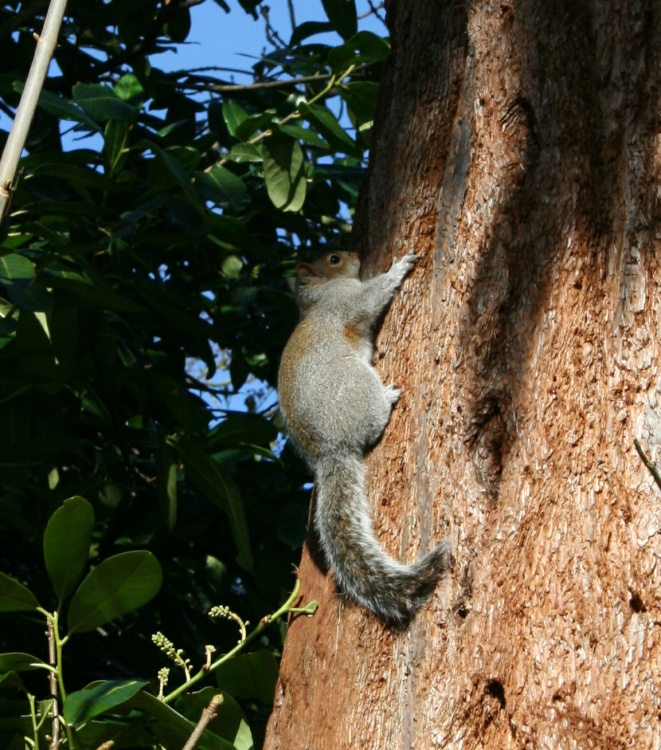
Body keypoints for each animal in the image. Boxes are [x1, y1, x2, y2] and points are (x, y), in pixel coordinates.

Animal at [276, 250, 452, 624]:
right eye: (334, 258)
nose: (356, 254)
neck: (317, 296)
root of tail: (330, 450)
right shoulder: (346, 299)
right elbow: (371, 295)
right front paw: (398, 268)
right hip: (356, 383)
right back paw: (386, 399)